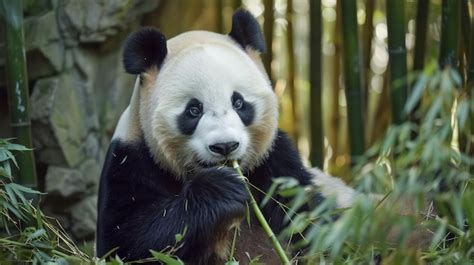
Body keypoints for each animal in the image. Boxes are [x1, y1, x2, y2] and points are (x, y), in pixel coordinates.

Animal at [95, 9, 362, 262]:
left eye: (239, 102)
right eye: (194, 110)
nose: (225, 146)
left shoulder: (277, 161)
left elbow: (307, 218)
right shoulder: (131, 159)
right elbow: (128, 240)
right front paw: (221, 190)